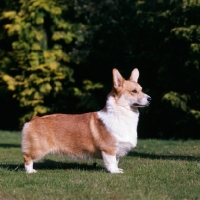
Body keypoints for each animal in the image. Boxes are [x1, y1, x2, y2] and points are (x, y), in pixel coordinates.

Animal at [21, 68, 150, 173]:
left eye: (141, 90)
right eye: (134, 91)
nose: (150, 98)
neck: (121, 113)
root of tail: (33, 120)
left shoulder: (117, 149)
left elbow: (116, 161)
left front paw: (118, 169)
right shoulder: (109, 149)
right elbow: (111, 162)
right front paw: (114, 172)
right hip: (39, 148)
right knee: (27, 158)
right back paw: (30, 171)